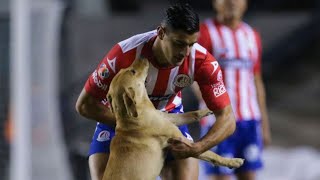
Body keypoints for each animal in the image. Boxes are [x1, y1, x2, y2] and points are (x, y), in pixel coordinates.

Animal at [104, 58, 244, 180]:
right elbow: (211, 154)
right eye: (132, 71)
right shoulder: (181, 141)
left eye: (125, 69)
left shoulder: (169, 118)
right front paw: (233, 162)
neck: (136, 116)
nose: (142, 57)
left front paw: (206, 110)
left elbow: (190, 115)